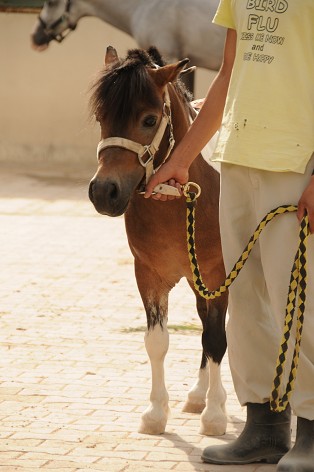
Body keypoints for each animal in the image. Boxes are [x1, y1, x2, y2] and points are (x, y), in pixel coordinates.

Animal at [88, 47, 228, 436]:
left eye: (149, 120)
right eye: (101, 117)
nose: (104, 192)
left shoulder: (219, 274)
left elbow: (217, 339)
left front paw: (216, 415)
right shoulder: (149, 274)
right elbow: (158, 341)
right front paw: (155, 413)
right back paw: (197, 395)